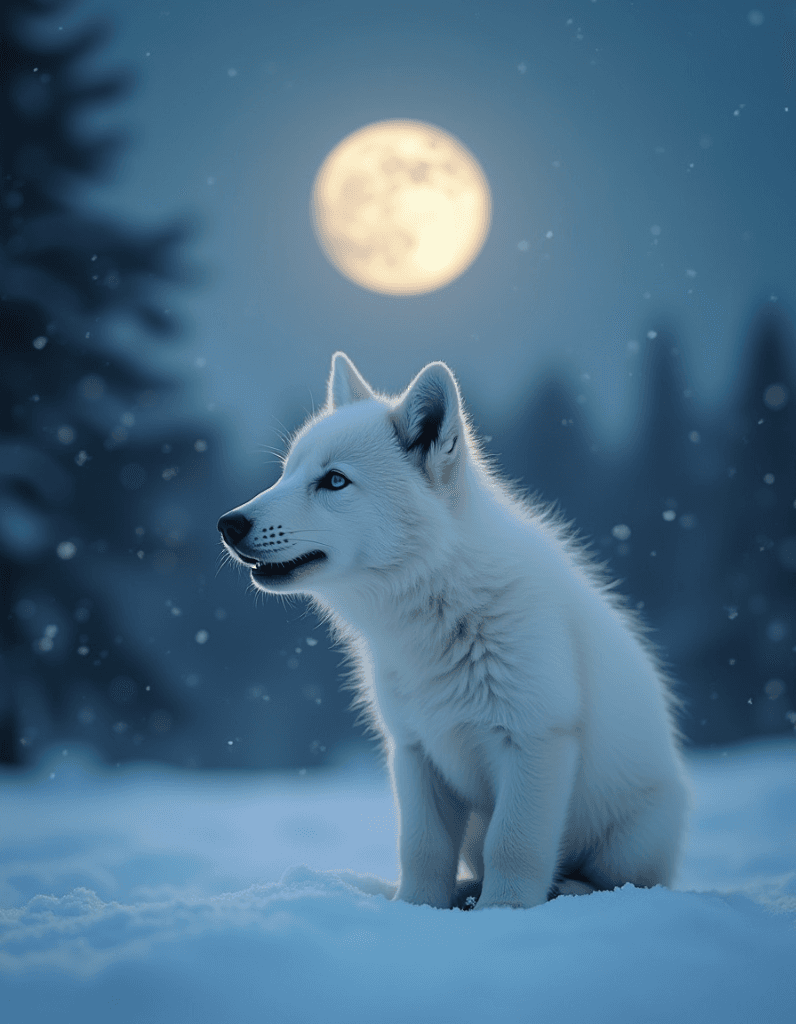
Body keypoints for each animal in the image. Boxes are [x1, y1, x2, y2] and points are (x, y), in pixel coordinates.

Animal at [218, 353, 689, 910]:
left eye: (334, 481)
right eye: (286, 473)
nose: (228, 523)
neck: (441, 616)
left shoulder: (535, 739)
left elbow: (513, 844)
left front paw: (504, 911)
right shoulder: (415, 752)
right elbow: (421, 850)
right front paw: (415, 909)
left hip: (631, 840)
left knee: (623, 879)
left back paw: (565, 889)